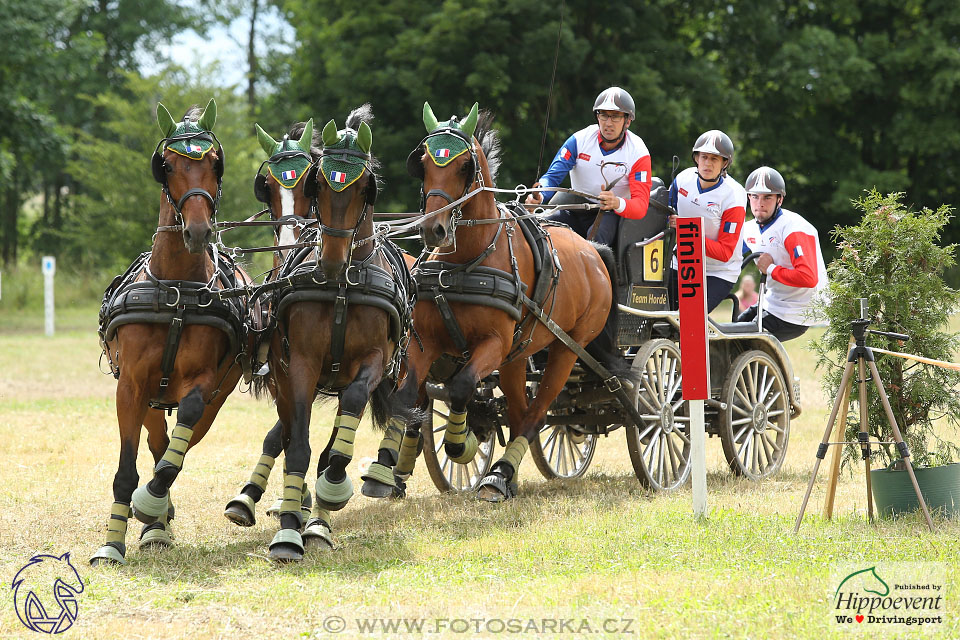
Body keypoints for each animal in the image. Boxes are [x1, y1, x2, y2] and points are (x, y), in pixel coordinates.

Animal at [91, 100, 251, 564]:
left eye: (214, 164)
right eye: (168, 165)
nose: (197, 230)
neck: (177, 291)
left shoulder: (203, 384)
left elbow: (177, 447)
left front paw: (152, 504)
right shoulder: (130, 385)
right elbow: (127, 470)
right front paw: (112, 544)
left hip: (217, 397)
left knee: (176, 448)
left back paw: (158, 513)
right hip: (147, 397)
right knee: (157, 440)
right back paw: (156, 523)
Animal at [253, 106, 414, 560]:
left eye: (363, 190)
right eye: (320, 184)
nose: (330, 260)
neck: (343, 284)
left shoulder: (374, 362)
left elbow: (339, 435)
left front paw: (329, 497)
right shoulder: (300, 365)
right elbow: (297, 445)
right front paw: (289, 529)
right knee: (287, 433)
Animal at [386, 102, 620, 500]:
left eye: (464, 166)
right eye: (424, 163)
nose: (433, 229)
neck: (465, 262)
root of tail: (594, 251)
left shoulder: (493, 343)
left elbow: (461, 387)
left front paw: (461, 443)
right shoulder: (426, 342)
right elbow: (406, 397)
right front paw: (389, 470)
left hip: (566, 350)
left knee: (535, 414)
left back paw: (498, 476)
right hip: (519, 355)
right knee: (519, 411)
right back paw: (503, 475)